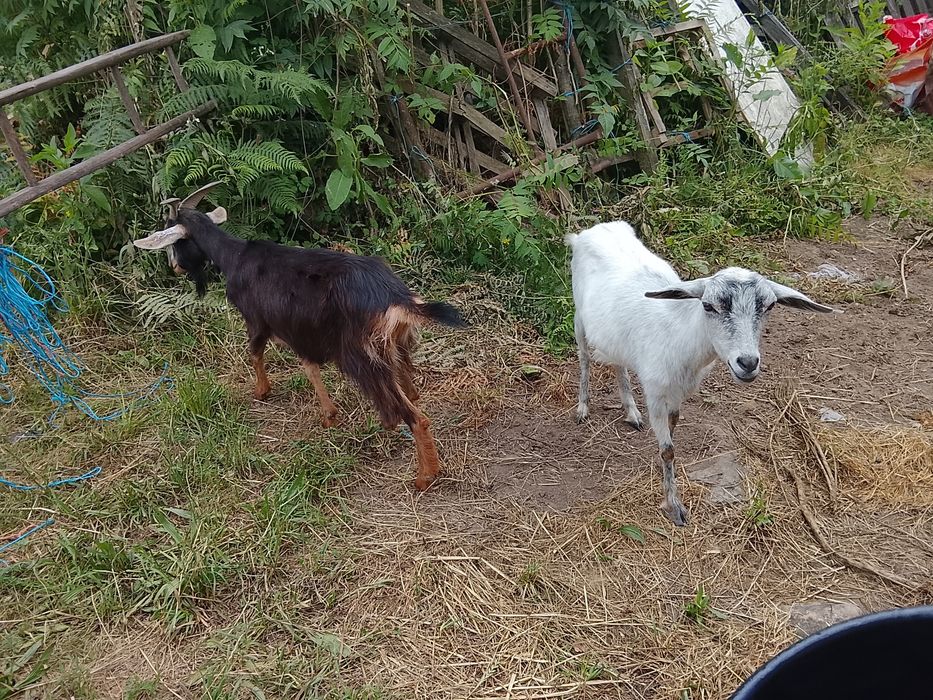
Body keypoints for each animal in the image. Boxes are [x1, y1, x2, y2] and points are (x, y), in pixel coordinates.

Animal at [133, 182, 468, 491]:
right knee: (410, 391)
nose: (174, 267)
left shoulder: (258, 320)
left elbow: (256, 352)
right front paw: (329, 415)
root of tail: (394, 297)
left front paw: (263, 392)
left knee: (415, 416)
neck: (235, 257)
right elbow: (309, 366)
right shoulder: (301, 332)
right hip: (395, 346)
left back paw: (424, 475)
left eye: (171, 242)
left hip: (361, 357)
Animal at [566, 221, 834, 526]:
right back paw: (583, 408)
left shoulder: (679, 391)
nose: (747, 363)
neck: (680, 333)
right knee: (584, 359)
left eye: (769, 306)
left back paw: (631, 413)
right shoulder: (655, 390)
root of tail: (592, 230)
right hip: (578, 317)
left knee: (618, 362)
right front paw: (674, 506)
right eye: (708, 305)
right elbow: (668, 448)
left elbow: (671, 431)